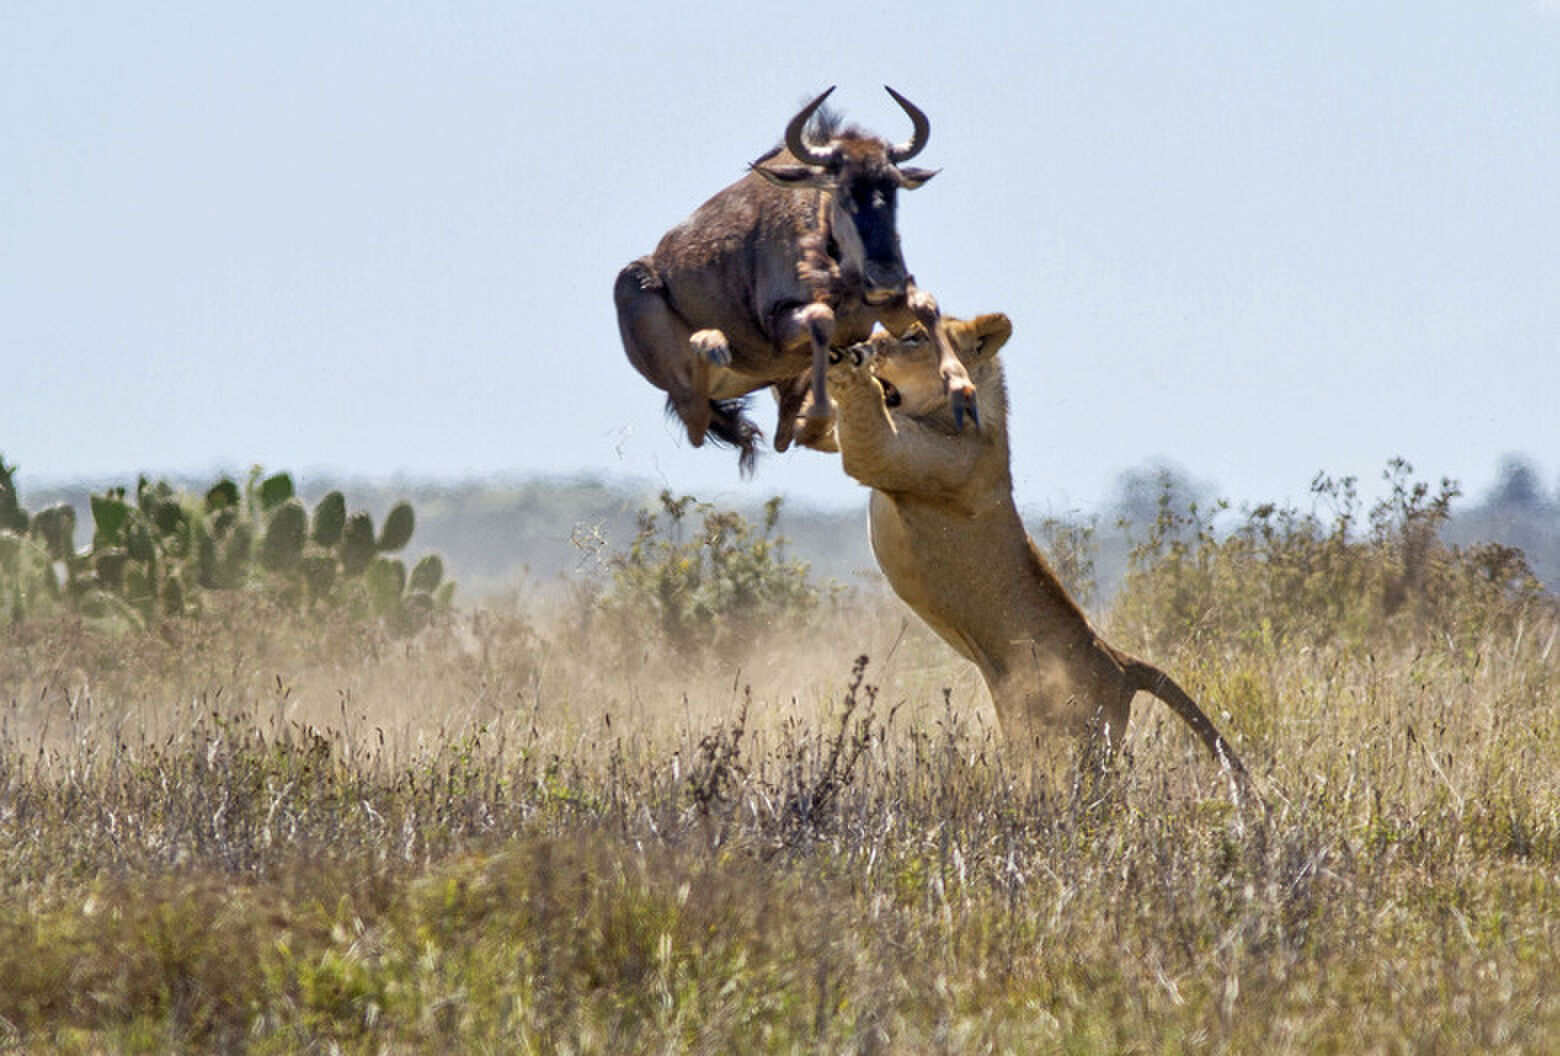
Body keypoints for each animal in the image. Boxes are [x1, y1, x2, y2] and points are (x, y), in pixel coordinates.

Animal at [614, 86, 976, 475]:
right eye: (843, 192)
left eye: (892, 189)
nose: (886, 276)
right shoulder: (779, 324)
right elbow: (821, 317)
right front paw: (820, 410)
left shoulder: (887, 310)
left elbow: (925, 303)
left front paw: (962, 389)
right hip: (665, 353)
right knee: (697, 422)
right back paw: (711, 342)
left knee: (776, 434)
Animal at [826, 313, 1248, 783]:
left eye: (914, 336)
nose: (866, 343)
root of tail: (1121, 662)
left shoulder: (912, 457)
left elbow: (867, 437)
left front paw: (844, 363)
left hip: (1075, 737)